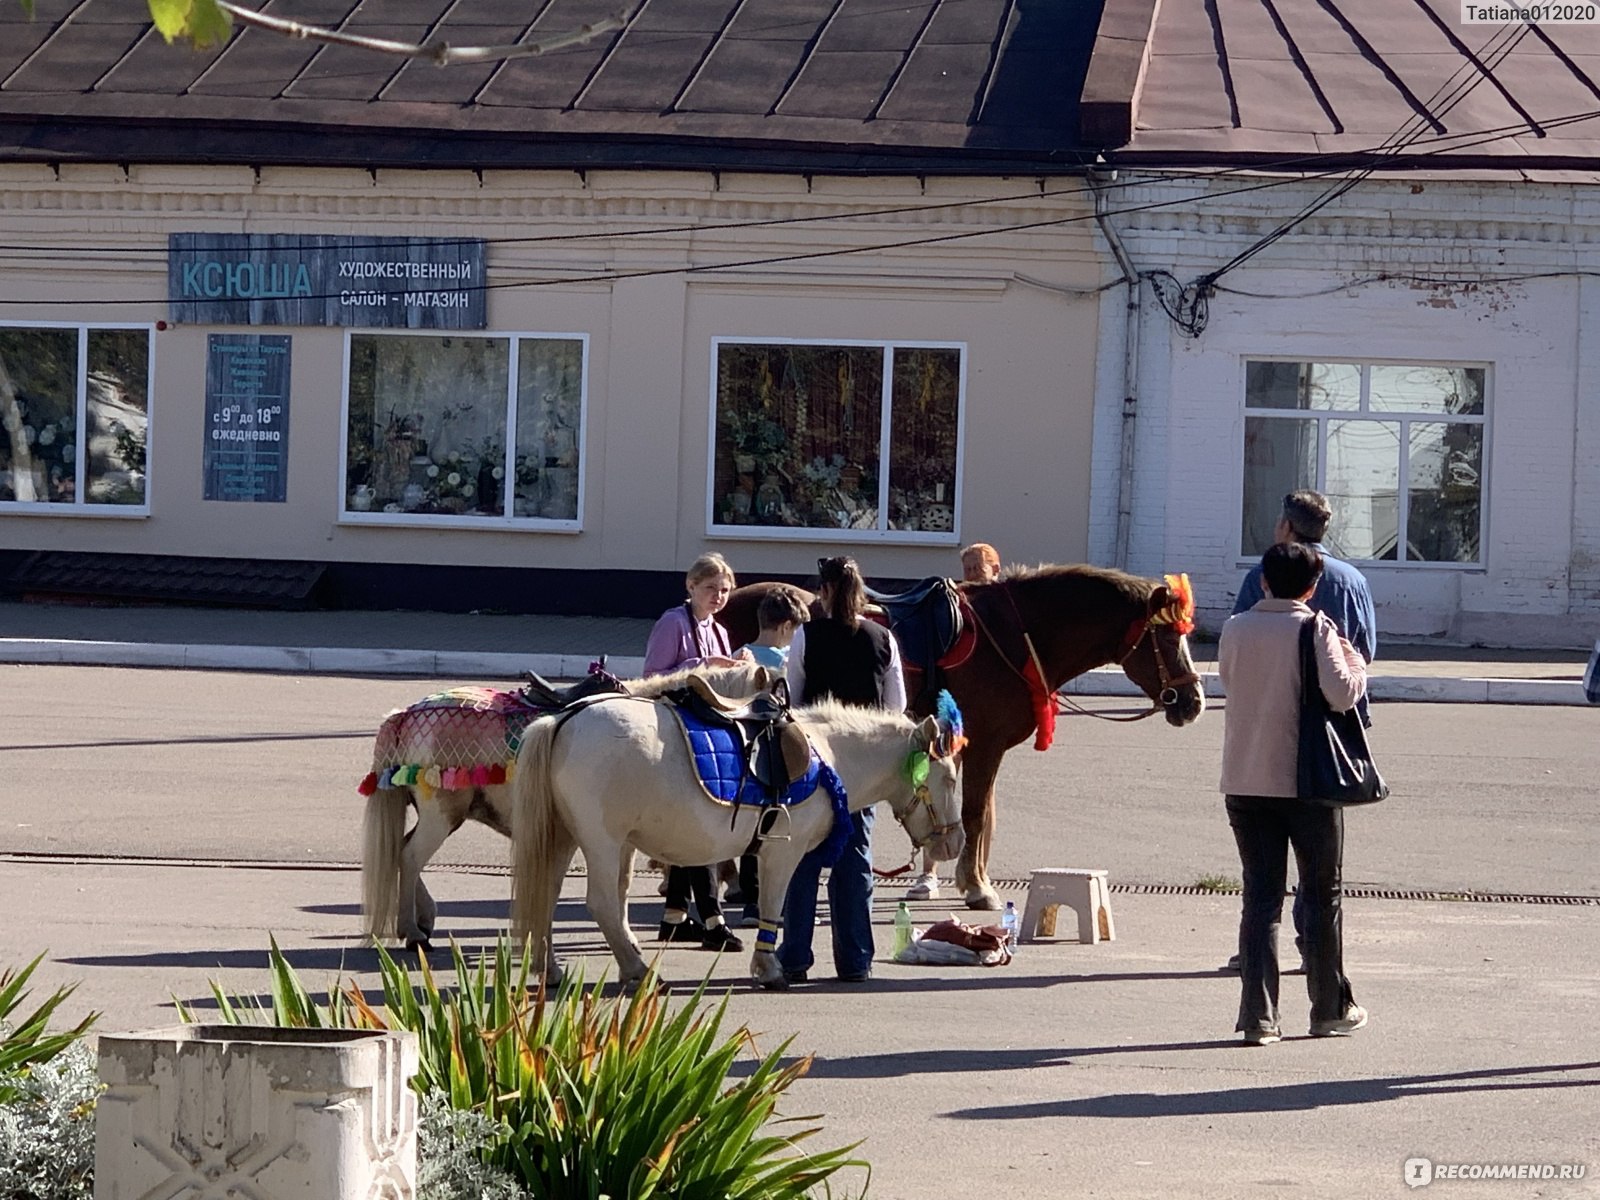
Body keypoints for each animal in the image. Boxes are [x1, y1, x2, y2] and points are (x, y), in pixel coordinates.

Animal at [360, 659, 771, 947]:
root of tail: (403, 715)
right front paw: (712, 927)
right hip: (441, 814)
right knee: (410, 856)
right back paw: (412, 930)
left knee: (402, 850)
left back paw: (424, 917)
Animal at [512, 700, 960, 992]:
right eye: (951, 778)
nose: (954, 844)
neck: (826, 755)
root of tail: (563, 720)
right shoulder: (782, 852)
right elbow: (773, 907)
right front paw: (770, 969)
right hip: (602, 843)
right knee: (603, 903)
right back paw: (638, 971)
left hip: (567, 838)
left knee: (547, 894)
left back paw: (551, 970)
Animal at [720, 563, 1203, 908]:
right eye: (1165, 637)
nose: (1193, 701)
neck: (1015, 636)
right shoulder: (985, 744)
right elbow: (972, 813)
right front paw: (976, 888)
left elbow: (978, 812)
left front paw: (965, 877)